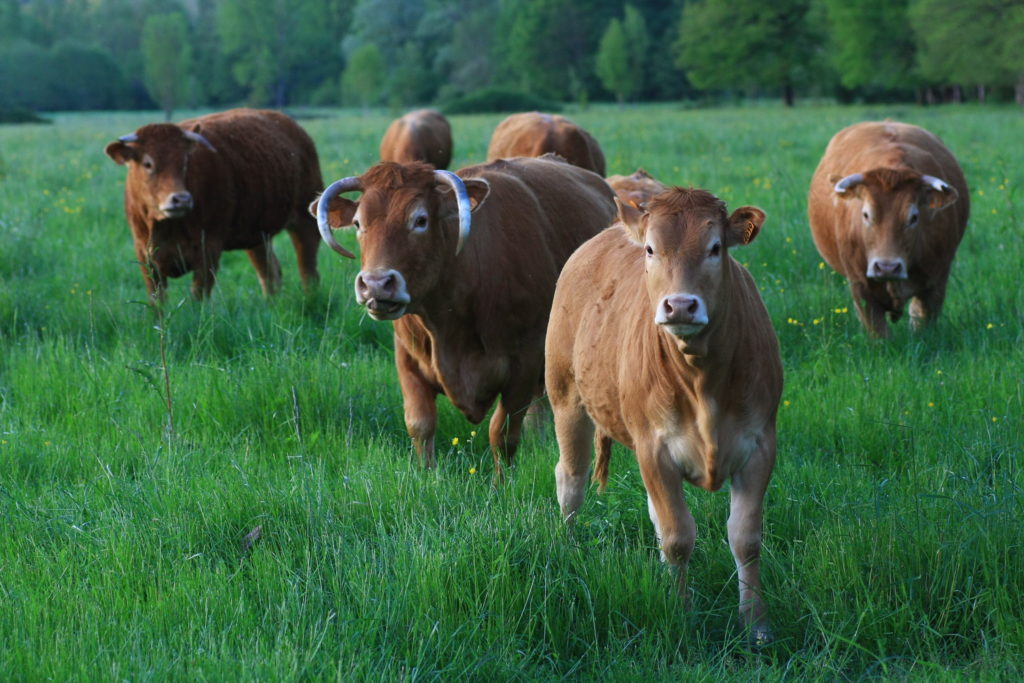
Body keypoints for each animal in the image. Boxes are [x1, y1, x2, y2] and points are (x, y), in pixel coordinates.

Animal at [103, 108, 319, 301]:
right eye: (148, 163)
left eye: (185, 161)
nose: (181, 199)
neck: (167, 227)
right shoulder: (145, 255)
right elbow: (157, 302)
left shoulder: (209, 250)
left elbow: (198, 297)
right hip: (257, 235)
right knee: (270, 272)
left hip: (305, 219)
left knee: (307, 269)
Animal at [309, 154, 614, 475]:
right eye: (358, 223)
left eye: (420, 220)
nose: (376, 284)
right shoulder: (406, 357)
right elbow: (420, 425)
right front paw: (426, 476)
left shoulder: (525, 362)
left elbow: (502, 434)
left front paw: (501, 483)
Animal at [548, 185, 778, 647]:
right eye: (652, 249)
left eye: (715, 248)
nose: (681, 306)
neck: (702, 379)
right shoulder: (653, 449)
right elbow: (677, 538)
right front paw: (683, 615)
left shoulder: (761, 444)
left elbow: (745, 539)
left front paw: (755, 624)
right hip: (565, 397)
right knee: (571, 479)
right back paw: (569, 546)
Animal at [806, 122, 966, 339]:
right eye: (866, 214)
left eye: (914, 217)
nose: (887, 267)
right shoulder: (861, 288)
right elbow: (879, 334)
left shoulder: (936, 282)